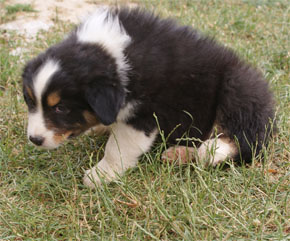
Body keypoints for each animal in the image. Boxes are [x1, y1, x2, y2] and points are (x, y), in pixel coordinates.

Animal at [22, 6, 274, 188]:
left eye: (60, 108)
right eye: (31, 101)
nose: (34, 139)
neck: (112, 54)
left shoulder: (144, 113)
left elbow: (117, 147)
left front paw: (100, 175)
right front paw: (102, 128)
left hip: (238, 87)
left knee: (245, 141)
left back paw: (212, 150)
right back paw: (180, 153)